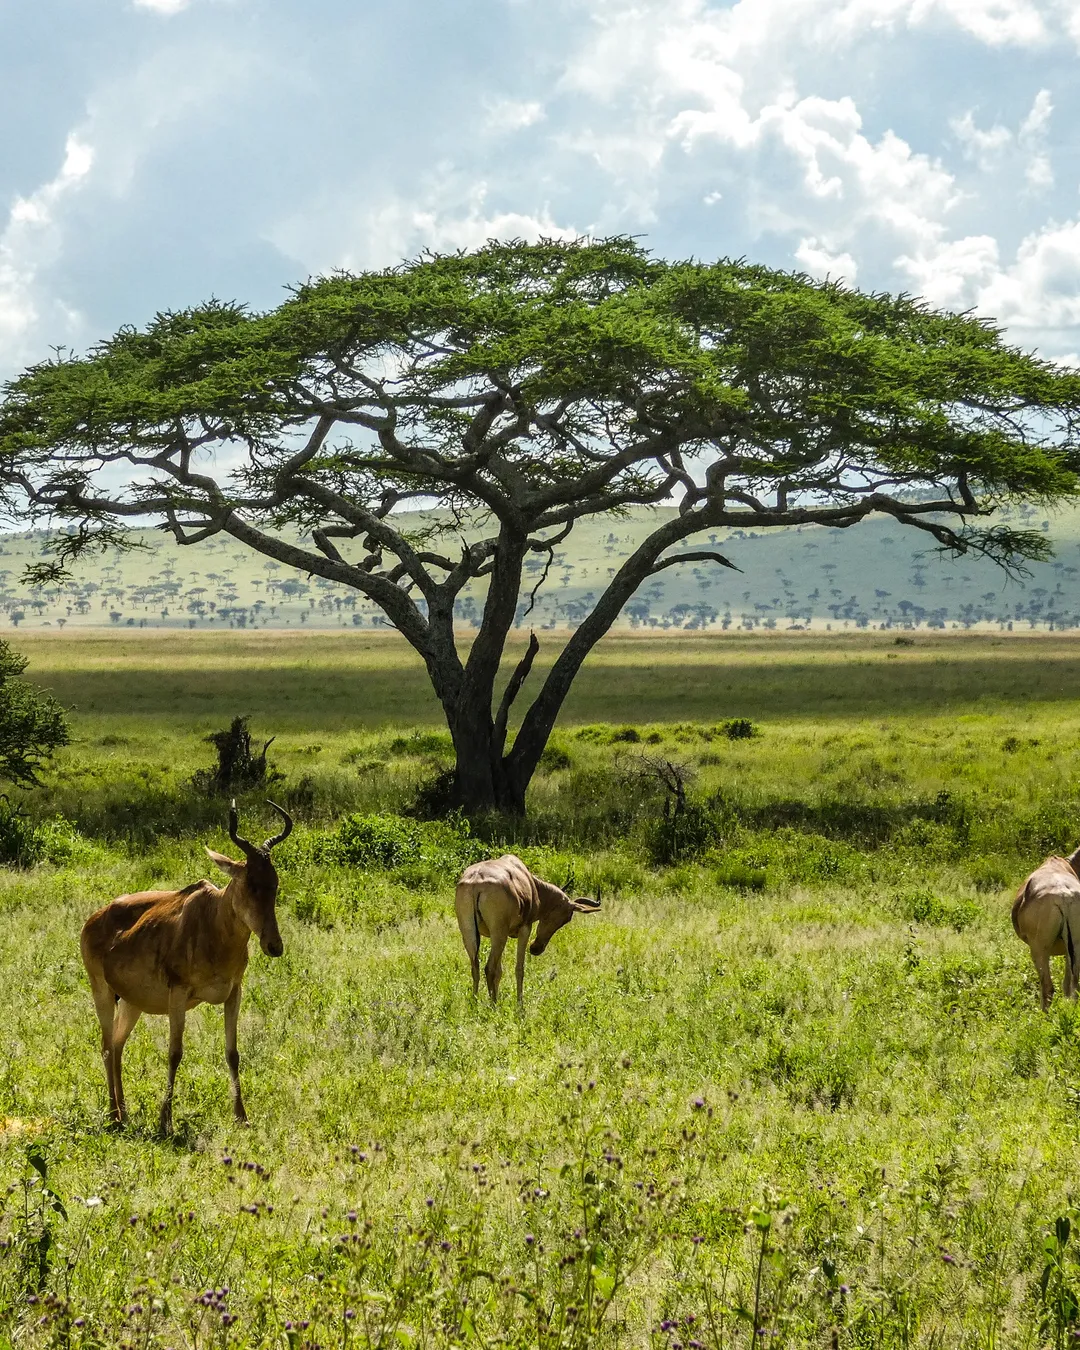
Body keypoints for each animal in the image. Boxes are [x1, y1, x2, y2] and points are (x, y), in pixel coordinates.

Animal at [81, 793, 291, 1134]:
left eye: (275, 882)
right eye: (248, 882)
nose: (274, 945)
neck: (212, 921)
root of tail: (95, 918)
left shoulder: (234, 993)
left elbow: (233, 1053)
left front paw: (242, 1117)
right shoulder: (177, 994)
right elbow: (174, 1053)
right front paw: (165, 1121)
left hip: (132, 1002)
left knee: (118, 1044)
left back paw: (124, 1112)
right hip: (101, 991)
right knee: (107, 1045)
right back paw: (114, 1115)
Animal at [453, 853, 602, 1004]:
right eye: (566, 918)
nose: (536, 949)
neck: (529, 881)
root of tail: (476, 882)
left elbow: (500, 971)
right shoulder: (525, 928)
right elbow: (519, 968)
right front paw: (520, 1005)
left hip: (470, 933)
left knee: (475, 967)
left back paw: (475, 1003)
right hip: (498, 934)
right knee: (489, 968)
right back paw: (493, 1005)